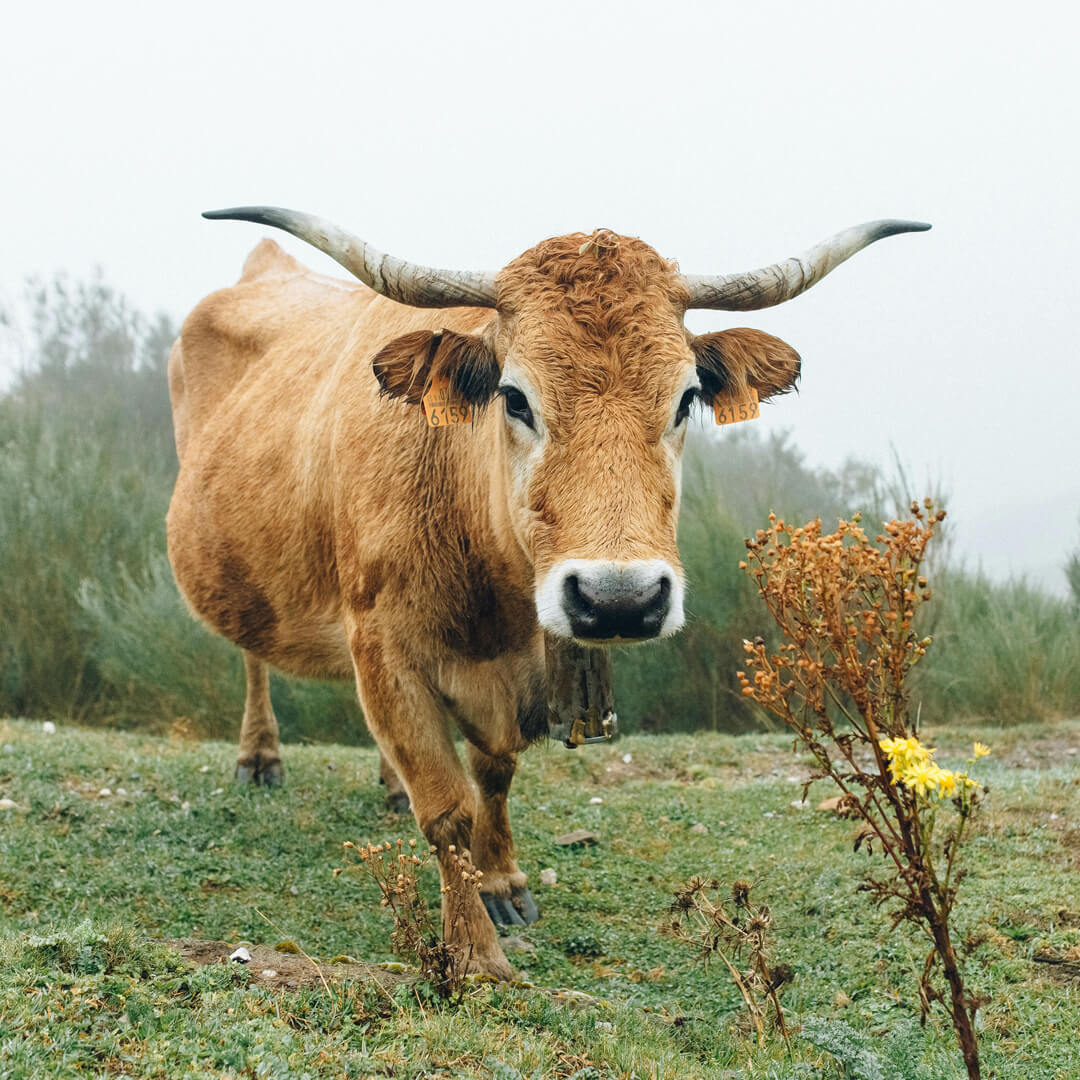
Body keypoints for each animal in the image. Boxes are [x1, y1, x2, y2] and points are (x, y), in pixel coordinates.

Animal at [166, 206, 928, 976]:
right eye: (514, 397)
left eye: (687, 398)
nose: (619, 598)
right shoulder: (383, 650)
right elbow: (447, 808)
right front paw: (474, 951)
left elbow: (493, 775)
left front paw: (502, 881)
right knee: (252, 654)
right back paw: (259, 757)